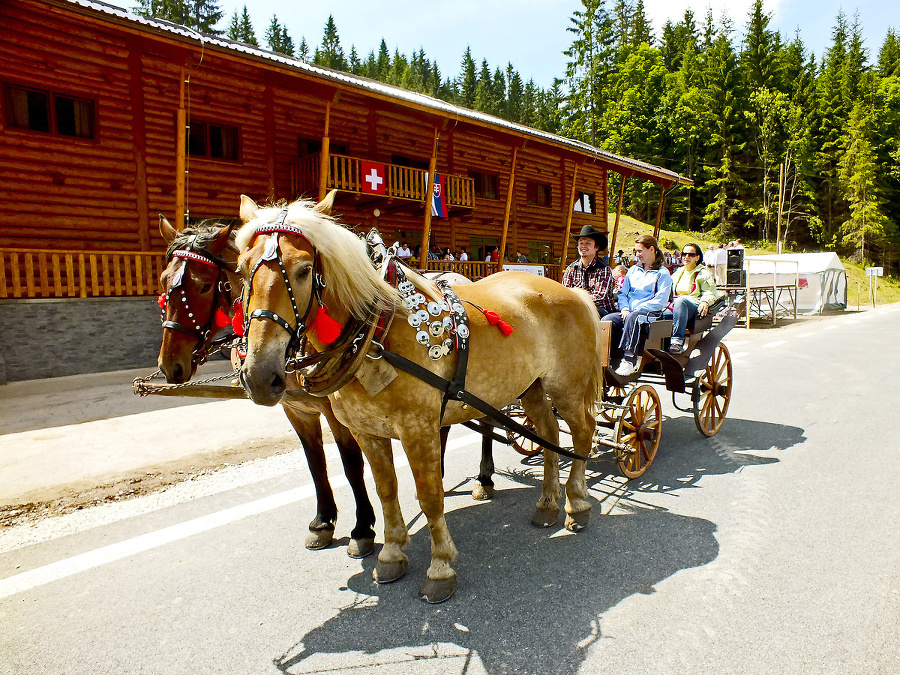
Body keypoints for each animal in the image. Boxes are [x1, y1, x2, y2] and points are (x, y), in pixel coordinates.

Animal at [158, 218, 376, 560]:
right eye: (164, 280)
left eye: (204, 285)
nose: (170, 364)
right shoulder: (296, 410)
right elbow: (316, 462)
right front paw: (323, 521)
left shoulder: (337, 411)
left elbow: (351, 463)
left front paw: (363, 527)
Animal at [236, 193, 608, 604]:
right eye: (242, 269)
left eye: (303, 270)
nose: (259, 375)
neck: (375, 334)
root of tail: (572, 291)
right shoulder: (367, 431)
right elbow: (385, 490)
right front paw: (390, 552)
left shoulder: (419, 429)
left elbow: (430, 496)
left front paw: (440, 566)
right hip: (531, 386)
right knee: (549, 434)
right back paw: (546, 503)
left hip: (567, 386)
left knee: (582, 433)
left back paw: (576, 502)